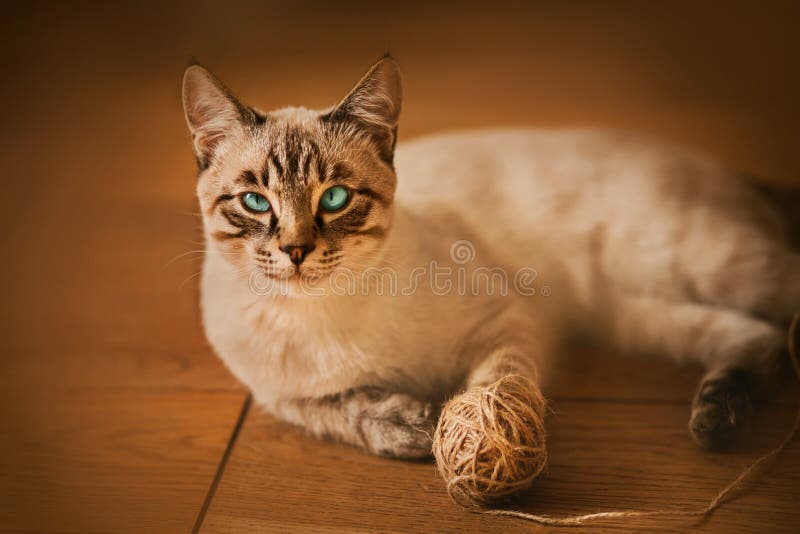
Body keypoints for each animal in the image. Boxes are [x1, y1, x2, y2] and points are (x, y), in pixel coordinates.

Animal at [183, 55, 800, 460]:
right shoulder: (281, 397)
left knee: (780, 308)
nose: (295, 251)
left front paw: (476, 445)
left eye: (333, 199)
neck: (320, 319)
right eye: (255, 202)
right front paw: (412, 429)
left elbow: (494, 389)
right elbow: (343, 413)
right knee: (753, 337)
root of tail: (721, 167)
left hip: (700, 263)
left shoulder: (508, 320)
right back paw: (719, 420)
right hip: (633, 317)